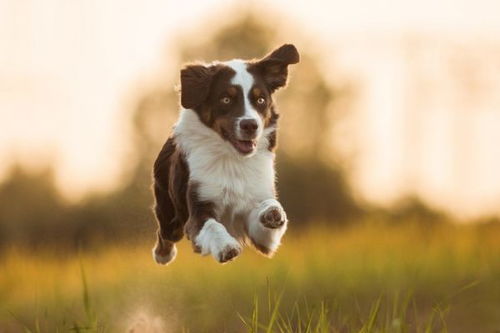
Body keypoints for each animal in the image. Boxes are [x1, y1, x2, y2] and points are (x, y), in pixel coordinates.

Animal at [150, 43, 298, 264]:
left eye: (260, 99)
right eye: (226, 99)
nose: (250, 125)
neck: (233, 159)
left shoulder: (261, 232)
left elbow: (270, 208)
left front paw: (272, 212)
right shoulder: (198, 209)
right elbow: (212, 225)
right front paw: (226, 246)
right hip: (169, 213)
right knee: (165, 233)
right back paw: (163, 255)